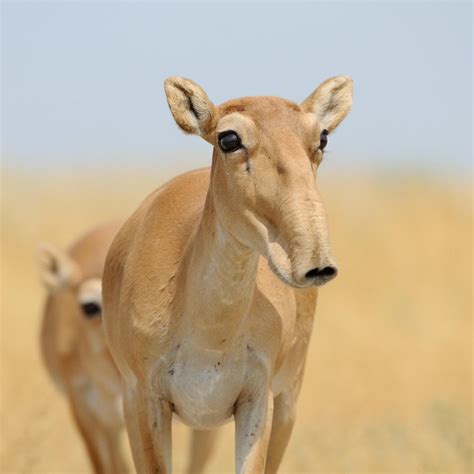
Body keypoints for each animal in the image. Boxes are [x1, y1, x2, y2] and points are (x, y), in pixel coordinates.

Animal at [104, 76, 356, 472]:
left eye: (323, 137)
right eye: (229, 138)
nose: (315, 261)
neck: (210, 339)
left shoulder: (257, 400)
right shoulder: (145, 401)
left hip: (285, 404)